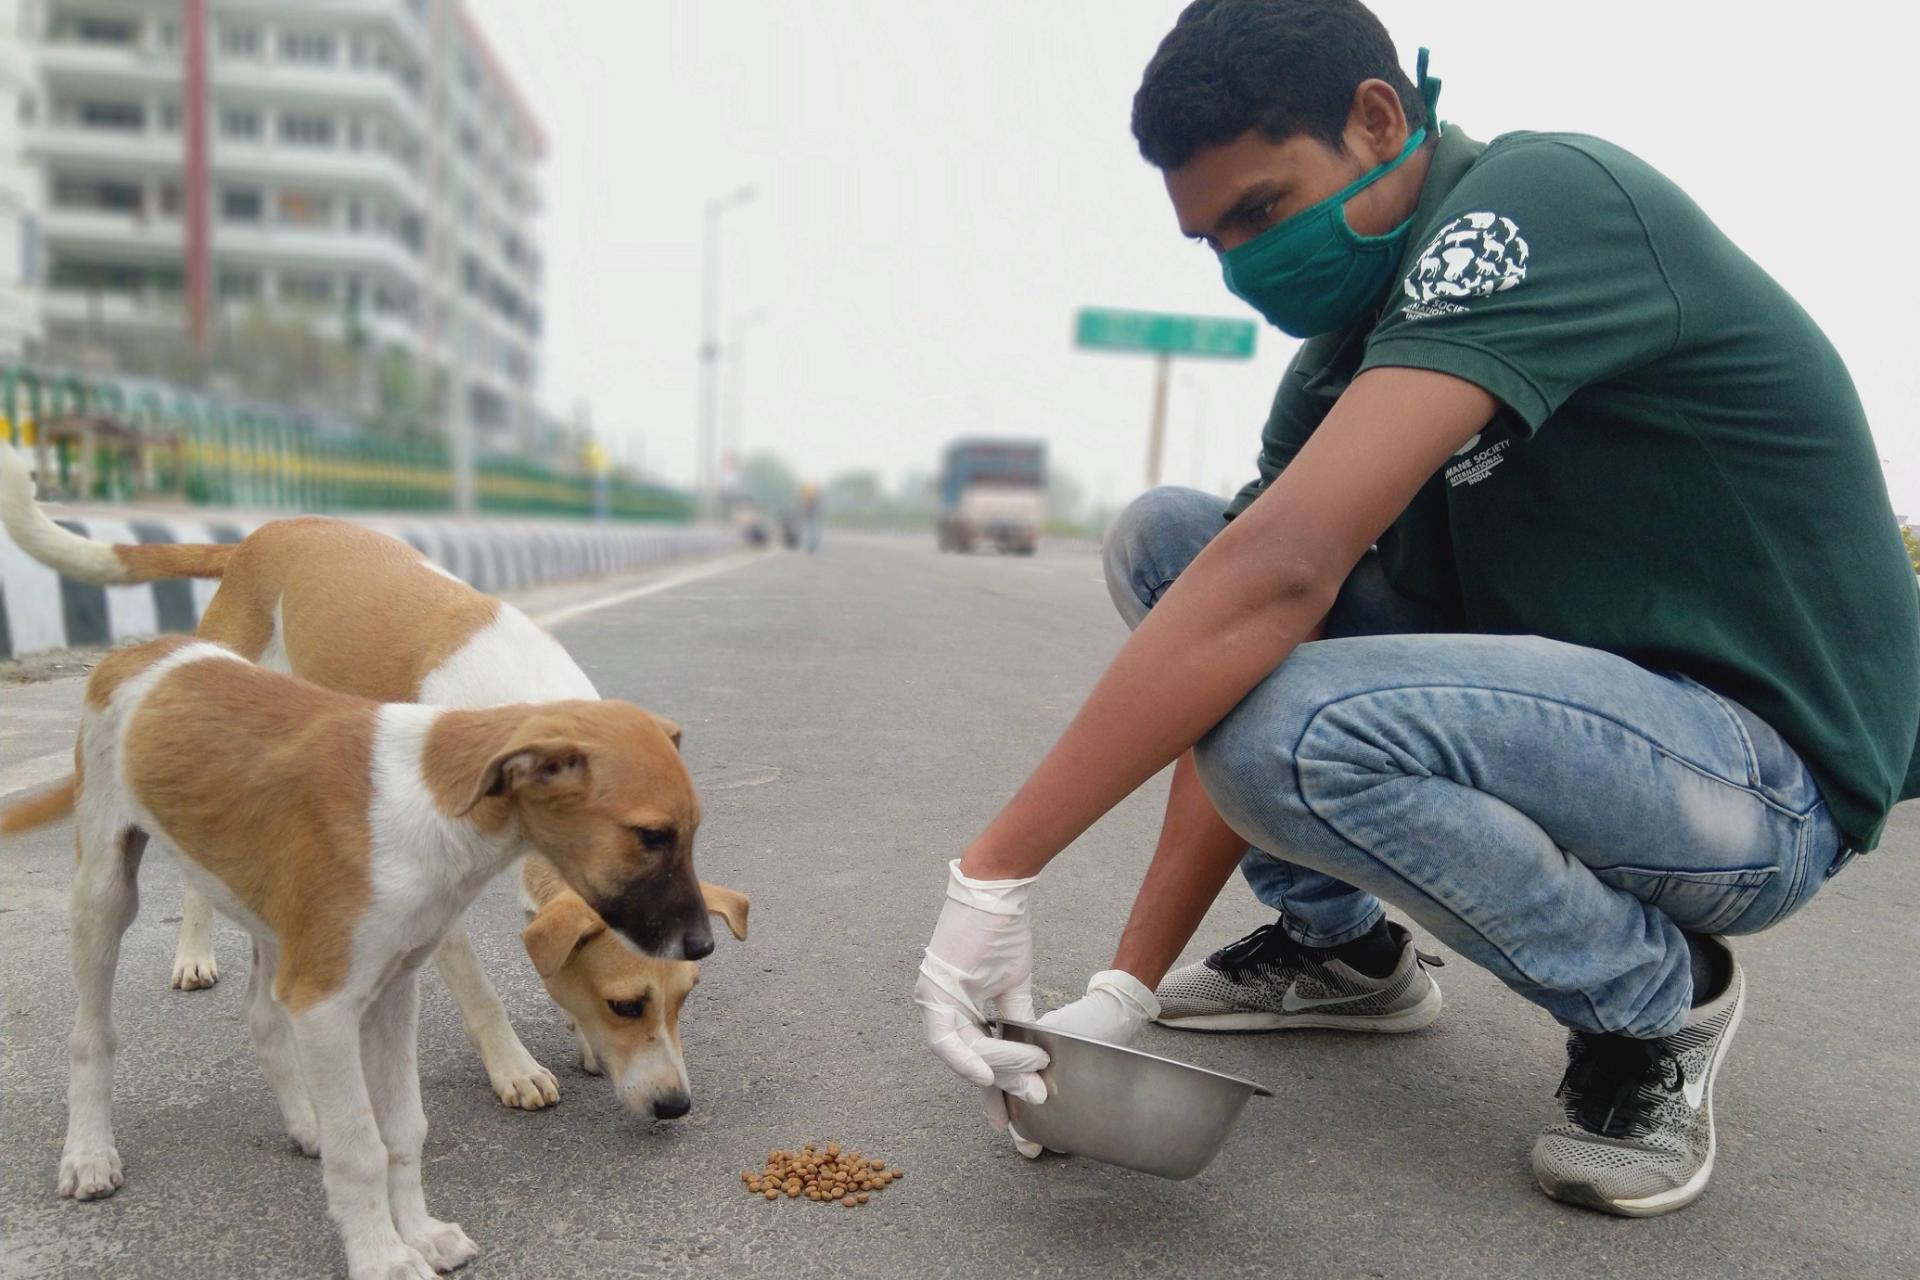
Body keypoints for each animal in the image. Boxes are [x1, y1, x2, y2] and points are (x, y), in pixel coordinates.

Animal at [0, 445, 733, 1113]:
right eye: (626, 1004)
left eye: (685, 999)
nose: (676, 1105)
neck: (532, 712)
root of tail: (261, 536)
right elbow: (480, 992)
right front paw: (514, 1066)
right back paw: (194, 952)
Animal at [3, 637, 710, 1280]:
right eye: (652, 836)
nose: (703, 942)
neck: (430, 813)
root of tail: (137, 651)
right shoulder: (326, 1005)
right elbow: (360, 1148)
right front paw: (383, 1258)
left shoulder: (392, 990)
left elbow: (402, 1131)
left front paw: (419, 1234)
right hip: (105, 891)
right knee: (91, 1035)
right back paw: (89, 1154)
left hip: (273, 916)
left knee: (262, 1015)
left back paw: (303, 1121)